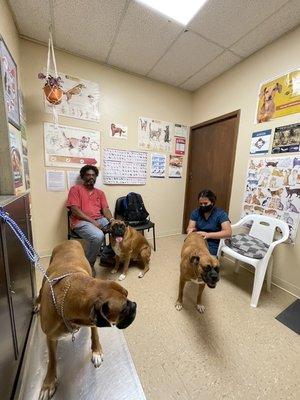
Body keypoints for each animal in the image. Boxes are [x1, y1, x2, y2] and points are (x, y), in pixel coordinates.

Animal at [34, 241, 137, 400]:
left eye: (127, 294)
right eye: (124, 309)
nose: (134, 305)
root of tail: (69, 241)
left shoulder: (93, 321)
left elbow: (95, 335)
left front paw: (96, 351)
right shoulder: (50, 336)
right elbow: (52, 359)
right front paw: (49, 383)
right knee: (39, 293)